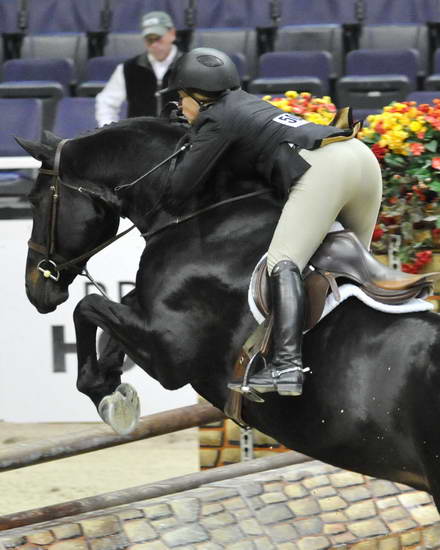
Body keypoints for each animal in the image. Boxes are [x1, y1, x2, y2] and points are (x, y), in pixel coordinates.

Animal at [19, 118, 440, 512]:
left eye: (36, 201)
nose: (35, 288)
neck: (203, 215)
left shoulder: (170, 354)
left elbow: (87, 307)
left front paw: (107, 396)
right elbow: (113, 314)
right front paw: (113, 383)